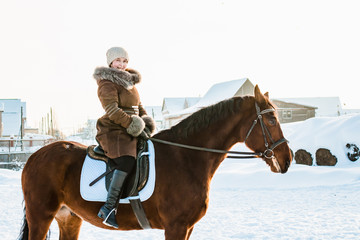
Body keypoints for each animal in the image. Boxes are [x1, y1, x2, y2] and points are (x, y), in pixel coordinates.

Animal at [18, 86, 292, 240]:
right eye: (271, 120)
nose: (287, 158)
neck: (186, 158)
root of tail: (35, 156)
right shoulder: (176, 226)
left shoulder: (187, 228)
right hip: (40, 215)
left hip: (69, 218)